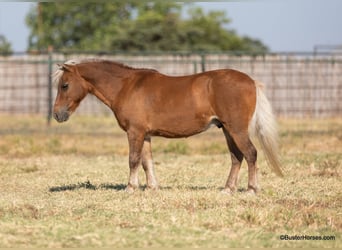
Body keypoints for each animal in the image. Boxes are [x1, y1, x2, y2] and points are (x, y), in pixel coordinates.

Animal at [52, 58, 284, 193]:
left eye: (65, 85)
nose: (57, 114)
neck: (126, 86)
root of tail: (251, 81)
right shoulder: (145, 134)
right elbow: (147, 161)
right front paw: (152, 188)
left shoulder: (135, 132)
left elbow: (133, 160)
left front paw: (130, 188)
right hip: (227, 130)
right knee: (237, 157)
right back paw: (228, 189)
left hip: (236, 129)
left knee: (251, 154)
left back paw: (252, 189)